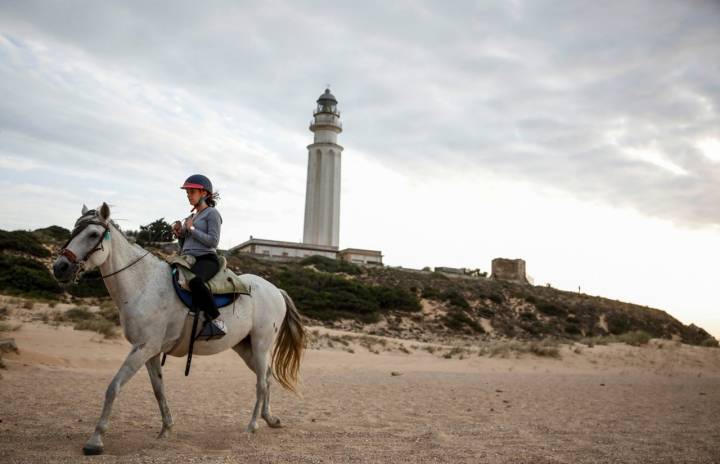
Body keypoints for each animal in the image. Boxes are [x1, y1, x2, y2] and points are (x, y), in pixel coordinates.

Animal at [52, 202, 306, 454]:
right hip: (245, 347)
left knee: (261, 382)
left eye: (93, 234)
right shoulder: (150, 352)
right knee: (268, 377)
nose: (60, 267)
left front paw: (95, 440)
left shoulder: (144, 348)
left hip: (261, 344)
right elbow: (159, 390)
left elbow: (113, 387)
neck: (142, 285)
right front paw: (166, 429)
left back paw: (252, 426)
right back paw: (270, 418)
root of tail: (275, 290)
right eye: (74, 230)